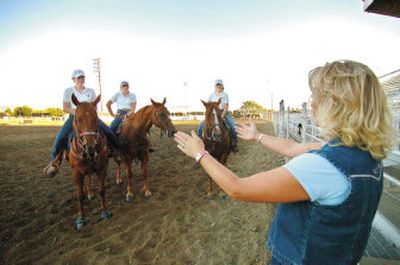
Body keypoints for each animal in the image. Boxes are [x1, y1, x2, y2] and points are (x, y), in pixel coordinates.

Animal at [67, 93, 110, 229]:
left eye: (96, 118)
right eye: (77, 119)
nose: (90, 147)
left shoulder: (102, 169)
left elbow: (102, 190)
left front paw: (104, 211)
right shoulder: (76, 173)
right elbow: (79, 196)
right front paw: (81, 218)